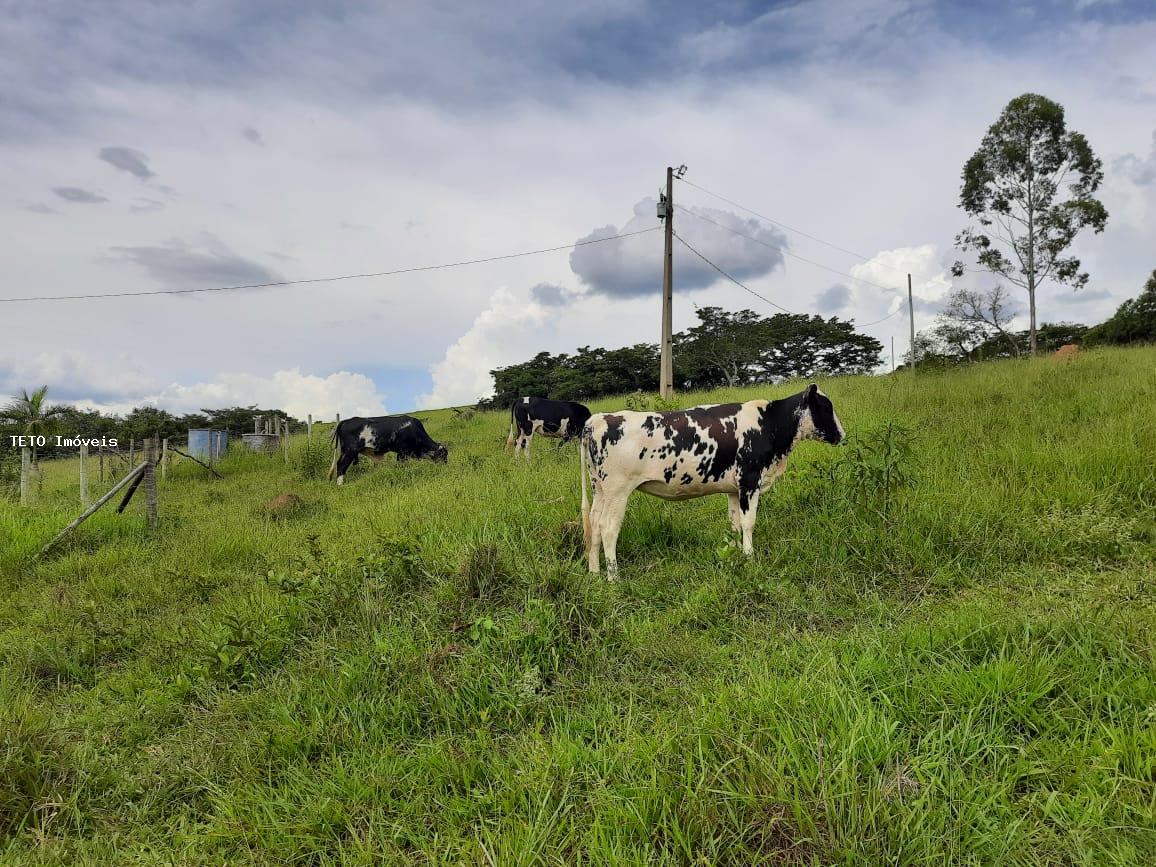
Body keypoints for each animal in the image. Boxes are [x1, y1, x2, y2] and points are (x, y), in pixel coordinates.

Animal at [582, 386, 846, 578]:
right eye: (825, 406)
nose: (842, 435)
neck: (769, 424)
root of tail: (597, 419)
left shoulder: (734, 488)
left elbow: (735, 524)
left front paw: (738, 554)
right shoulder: (750, 480)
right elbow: (749, 523)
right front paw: (750, 558)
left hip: (600, 489)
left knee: (594, 524)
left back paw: (594, 573)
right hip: (618, 490)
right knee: (608, 528)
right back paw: (613, 578)